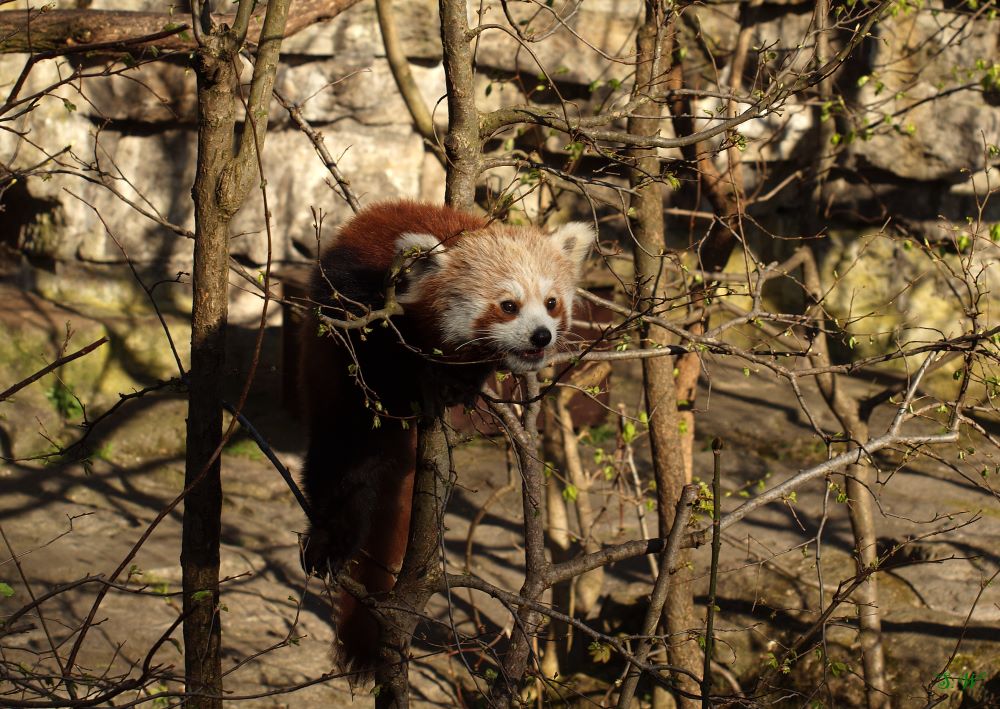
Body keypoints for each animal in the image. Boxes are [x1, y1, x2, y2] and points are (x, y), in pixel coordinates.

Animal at [296, 202, 592, 676]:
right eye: (508, 306)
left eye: (551, 302)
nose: (542, 335)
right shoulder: (355, 300)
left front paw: (460, 385)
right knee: (345, 455)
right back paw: (332, 537)